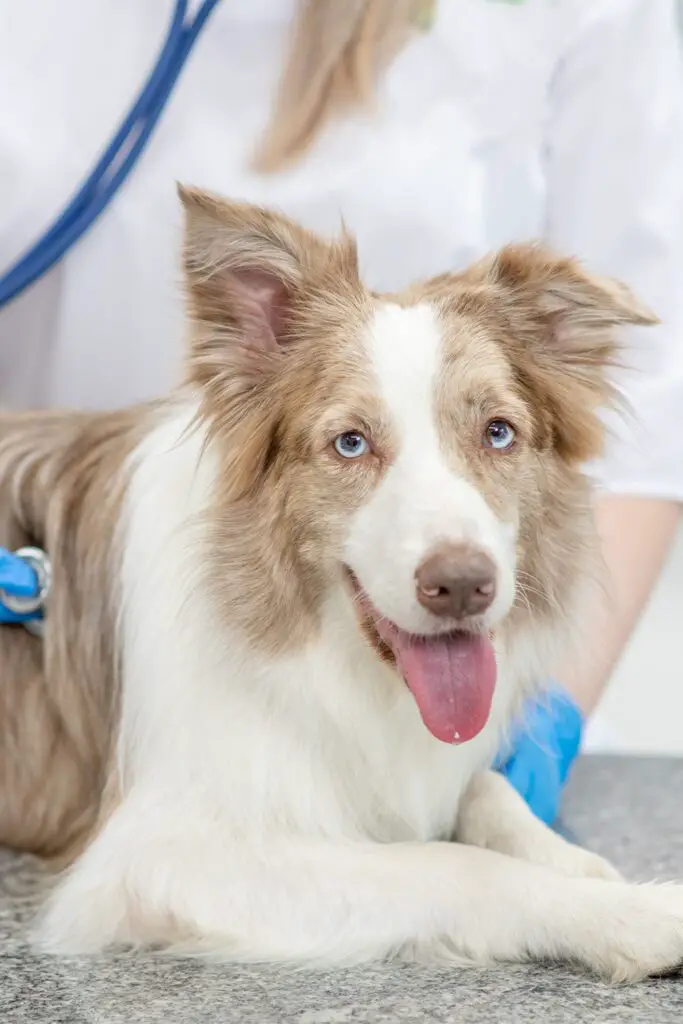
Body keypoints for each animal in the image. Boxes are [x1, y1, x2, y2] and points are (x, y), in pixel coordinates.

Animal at [1, 188, 683, 978]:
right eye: (351, 443)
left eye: (498, 433)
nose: (463, 586)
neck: (340, 661)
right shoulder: (158, 852)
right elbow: (451, 866)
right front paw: (631, 912)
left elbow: (485, 787)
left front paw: (577, 863)